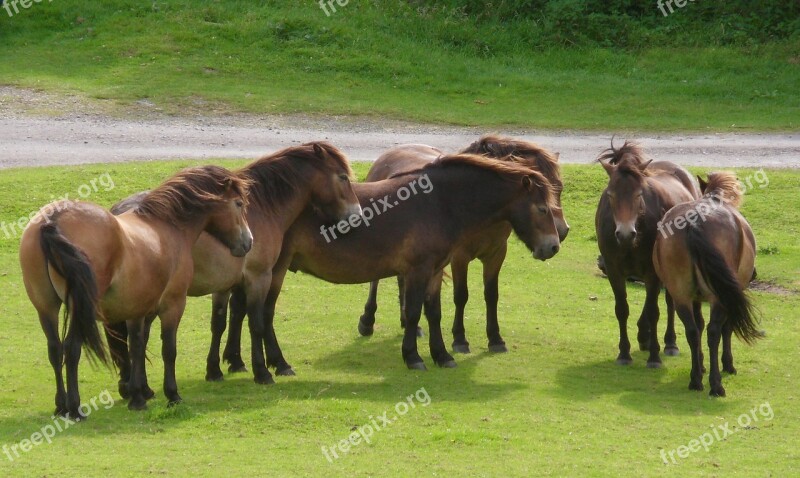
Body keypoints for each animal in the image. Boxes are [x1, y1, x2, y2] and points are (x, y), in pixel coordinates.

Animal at [19, 165, 250, 418]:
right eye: (239, 203)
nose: (248, 242)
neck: (168, 226)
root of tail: (52, 221)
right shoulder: (173, 304)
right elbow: (168, 349)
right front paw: (172, 395)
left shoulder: (137, 309)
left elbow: (137, 347)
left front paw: (138, 396)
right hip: (81, 309)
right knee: (71, 349)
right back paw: (75, 409)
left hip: (46, 307)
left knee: (55, 349)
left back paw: (61, 406)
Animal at [109, 141, 360, 384]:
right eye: (343, 177)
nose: (356, 214)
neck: (261, 208)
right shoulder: (261, 277)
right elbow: (258, 322)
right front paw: (266, 370)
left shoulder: (228, 283)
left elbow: (223, 321)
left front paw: (218, 368)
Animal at [356, 136, 568, 352]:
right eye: (542, 207)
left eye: (559, 189)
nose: (560, 235)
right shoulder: (459, 257)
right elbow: (461, 295)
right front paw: (459, 338)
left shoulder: (496, 254)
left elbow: (491, 295)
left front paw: (495, 338)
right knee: (376, 280)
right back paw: (367, 320)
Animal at [592, 140, 700, 368]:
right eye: (610, 195)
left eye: (639, 195)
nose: (625, 233)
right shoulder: (614, 271)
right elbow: (622, 309)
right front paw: (624, 353)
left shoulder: (652, 271)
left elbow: (654, 311)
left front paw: (654, 356)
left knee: (668, 301)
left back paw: (669, 343)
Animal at [652, 172, 760, 396]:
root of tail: (695, 223)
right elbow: (725, 328)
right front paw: (727, 364)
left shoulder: (695, 298)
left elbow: (699, 325)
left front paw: (701, 365)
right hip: (718, 297)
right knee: (714, 331)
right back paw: (715, 383)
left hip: (681, 295)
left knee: (693, 331)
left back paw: (695, 379)